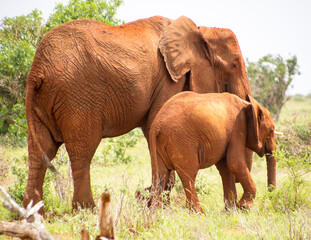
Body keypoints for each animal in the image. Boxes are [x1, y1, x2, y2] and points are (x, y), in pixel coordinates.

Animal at [149, 92, 278, 214]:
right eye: (272, 130)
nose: (270, 199)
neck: (248, 104)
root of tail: (156, 125)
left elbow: (225, 167)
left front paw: (231, 211)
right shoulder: (238, 127)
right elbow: (234, 163)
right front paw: (243, 206)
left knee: (161, 175)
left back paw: (155, 214)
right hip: (181, 141)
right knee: (188, 175)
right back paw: (199, 214)